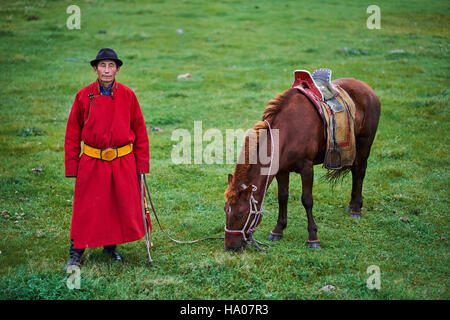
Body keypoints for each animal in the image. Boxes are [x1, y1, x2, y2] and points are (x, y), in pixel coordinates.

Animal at [224, 77, 380, 250]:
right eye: (225, 210)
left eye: (241, 214)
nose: (230, 246)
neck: (288, 131)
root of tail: (365, 87)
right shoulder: (281, 170)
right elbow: (282, 197)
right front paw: (278, 230)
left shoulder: (307, 168)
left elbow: (307, 200)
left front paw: (313, 237)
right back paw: (352, 205)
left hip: (365, 144)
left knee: (359, 171)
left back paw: (356, 209)